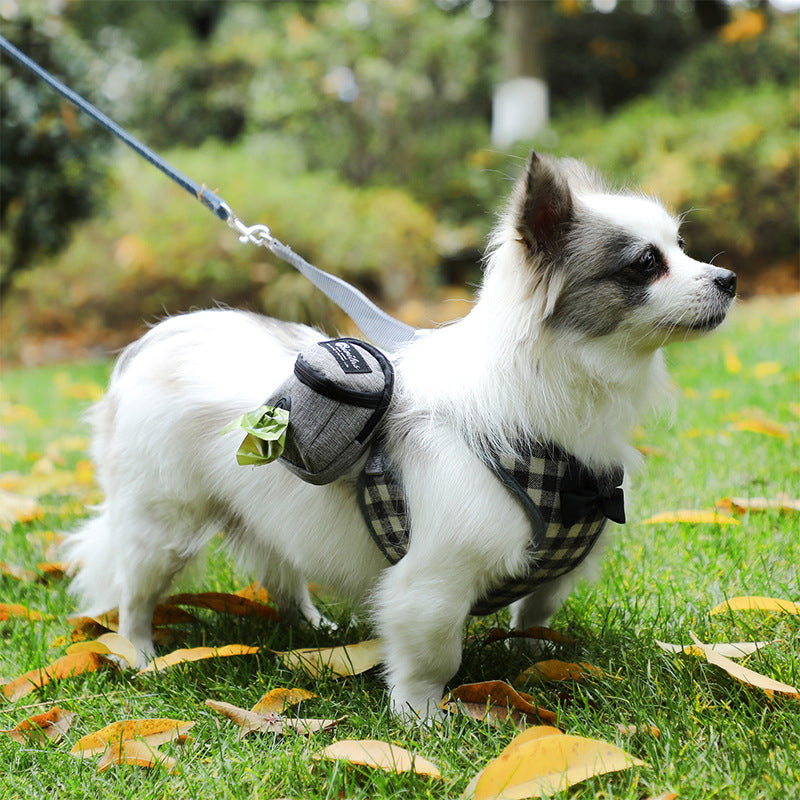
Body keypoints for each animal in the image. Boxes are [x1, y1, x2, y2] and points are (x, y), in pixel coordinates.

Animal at [65, 150, 736, 720]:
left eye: (682, 247)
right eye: (647, 263)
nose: (728, 277)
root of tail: (154, 340)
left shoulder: (553, 568)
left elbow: (535, 610)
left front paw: (530, 656)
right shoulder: (433, 581)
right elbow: (433, 654)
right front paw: (422, 719)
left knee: (282, 574)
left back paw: (313, 632)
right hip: (163, 527)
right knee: (134, 595)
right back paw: (143, 657)